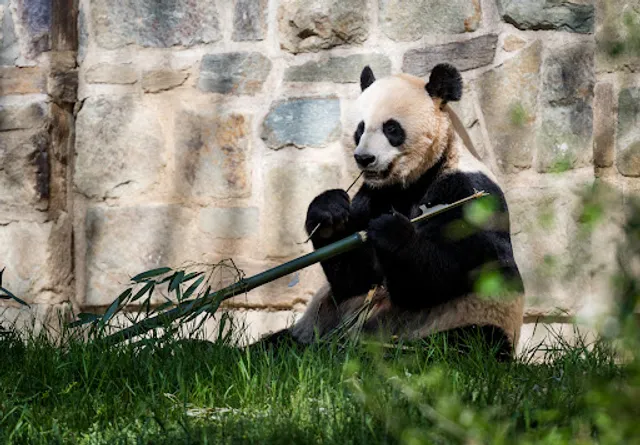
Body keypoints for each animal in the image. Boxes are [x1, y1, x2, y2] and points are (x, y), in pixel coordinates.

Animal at [259, 64, 525, 358]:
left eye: (391, 128)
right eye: (360, 128)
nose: (364, 158)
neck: (414, 179)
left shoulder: (468, 191)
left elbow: (454, 271)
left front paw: (392, 231)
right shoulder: (373, 195)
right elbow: (357, 278)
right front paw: (329, 213)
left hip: (461, 324)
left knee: (456, 347)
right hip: (320, 322)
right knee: (278, 346)